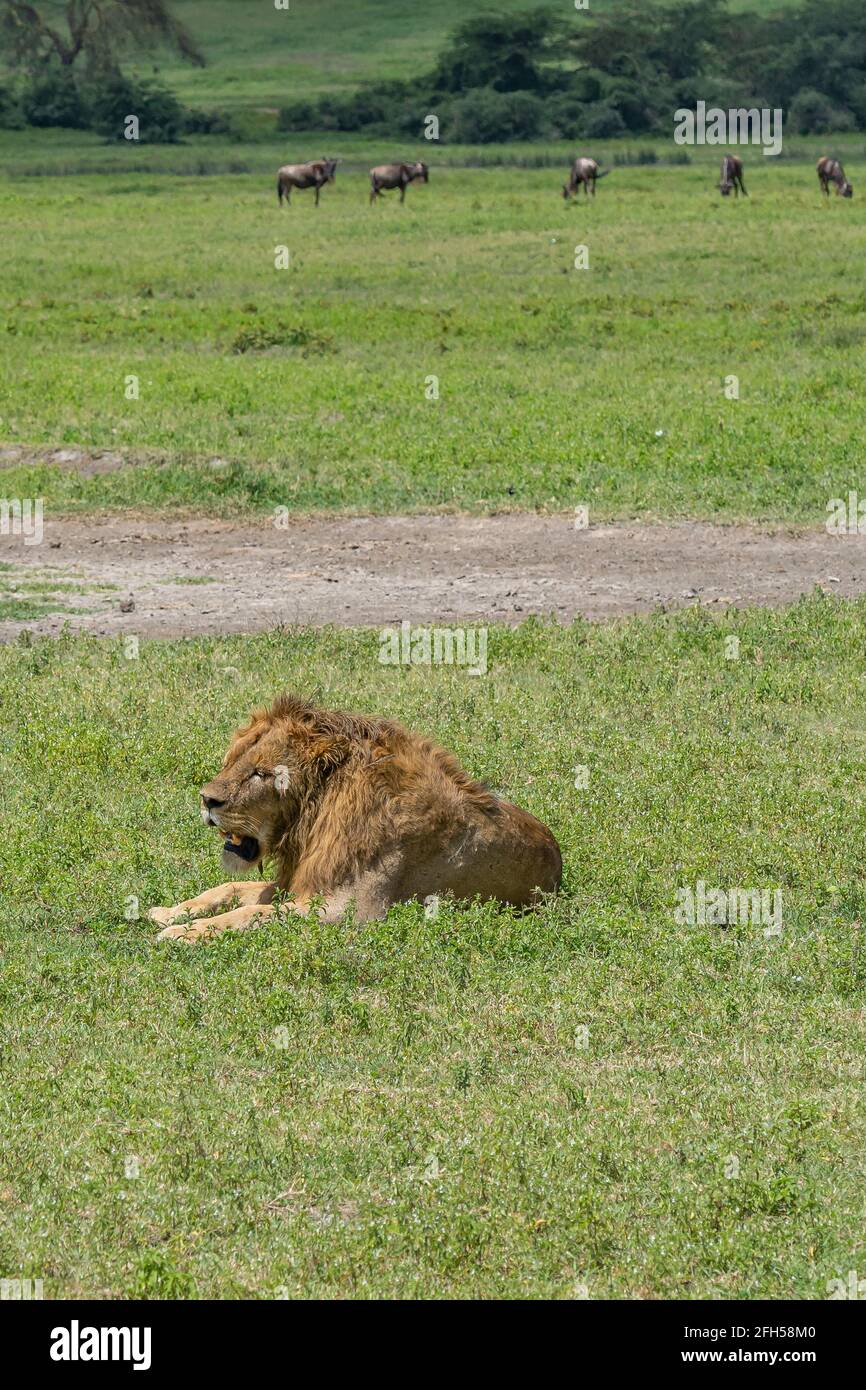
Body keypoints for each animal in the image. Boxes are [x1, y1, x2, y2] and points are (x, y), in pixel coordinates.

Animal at [150, 696, 562, 942]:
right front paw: (170, 913)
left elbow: (251, 913)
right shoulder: (297, 882)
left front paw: (185, 933)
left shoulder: (349, 911)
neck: (312, 817)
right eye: (233, 761)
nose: (207, 800)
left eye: (261, 774)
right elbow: (232, 890)